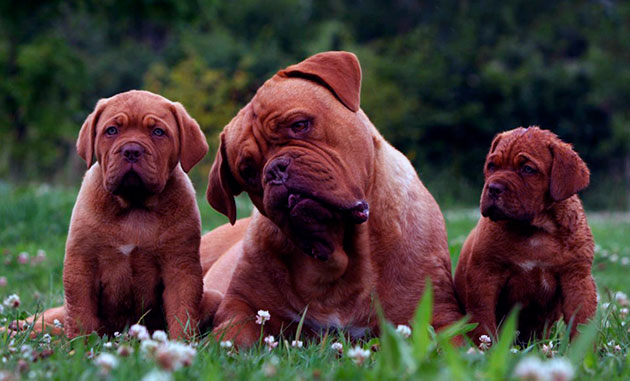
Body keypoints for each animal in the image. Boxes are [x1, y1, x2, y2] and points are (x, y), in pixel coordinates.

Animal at [12, 90, 210, 338]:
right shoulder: (82, 265)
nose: (132, 150)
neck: (134, 205)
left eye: (158, 132)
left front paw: (181, 342)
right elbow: (80, 313)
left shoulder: (180, 269)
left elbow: (182, 313)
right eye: (112, 130)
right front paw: (79, 345)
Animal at [202, 49, 464, 344]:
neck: (340, 255)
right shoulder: (242, 307)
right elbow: (232, 335)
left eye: (300, 125)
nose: (275, 170)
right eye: (247, 170)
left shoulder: (440, 319)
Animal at [454, 126, 596, 342]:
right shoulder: (484, 276)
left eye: (527, 169)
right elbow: (483, 320)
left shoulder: (577, 279)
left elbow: (581, 322)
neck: (535, 230)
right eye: (492, 166)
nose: (493, 188)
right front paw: (486, 347)